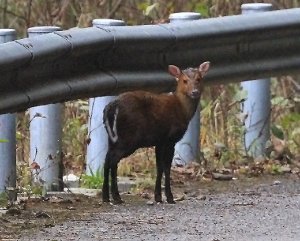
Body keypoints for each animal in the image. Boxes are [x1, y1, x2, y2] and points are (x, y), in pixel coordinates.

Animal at [103, 60, 211, 203]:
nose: (194, 92)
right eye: (184, 80)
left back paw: (106, 197)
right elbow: (166, 167)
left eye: (199, 79)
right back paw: (116, 197)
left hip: (112, 137)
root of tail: (111, 107)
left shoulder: (159, 141)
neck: (183, 110)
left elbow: (159, 167)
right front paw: (169, 197)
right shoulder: (170, 138)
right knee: (112, 160)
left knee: (107, 160)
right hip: (128, 138)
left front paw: (158, 197)